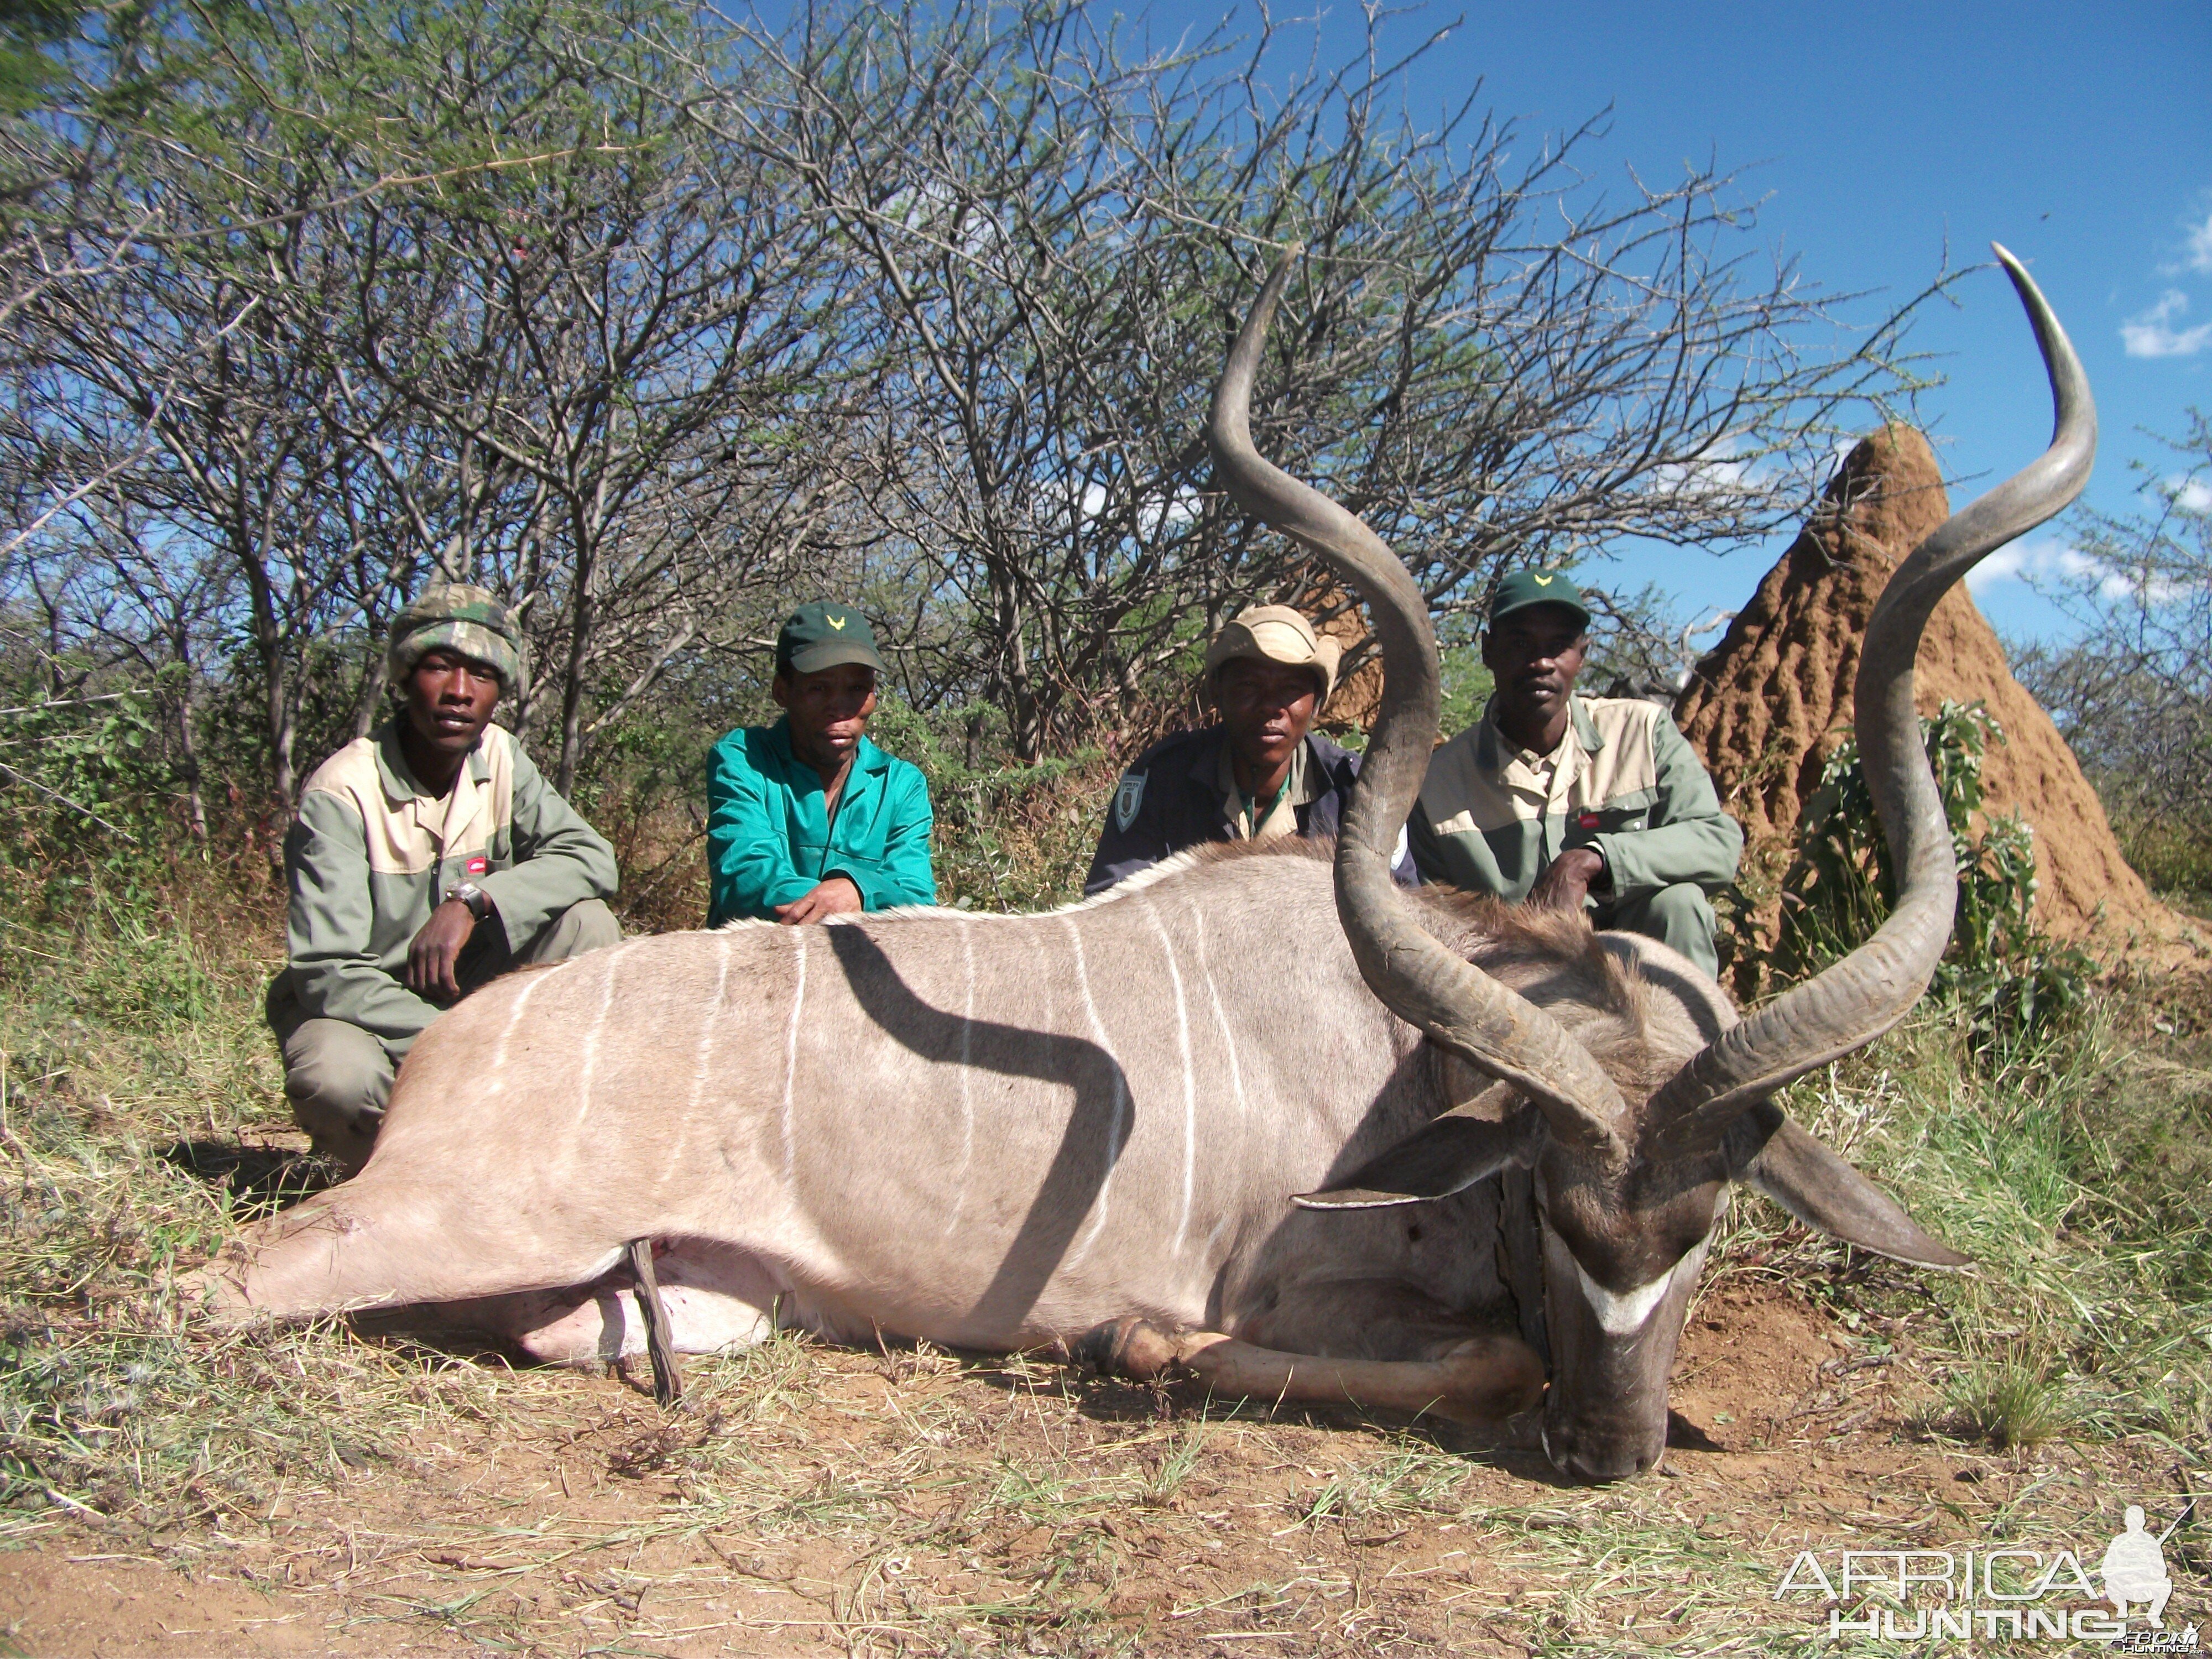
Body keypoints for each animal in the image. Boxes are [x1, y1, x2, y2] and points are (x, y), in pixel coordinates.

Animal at [190, 243, 2088, 1478]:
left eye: (1702, 1222)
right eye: (1557, 1208)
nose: (1613, 1451)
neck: (1403, 1056)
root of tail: (455, 1054)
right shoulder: (1292, 1275)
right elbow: (1425, 1348)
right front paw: (1143, 1346)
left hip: (675, 1294)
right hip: (432, 1220)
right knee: (229, 1290)